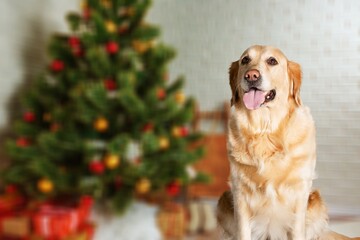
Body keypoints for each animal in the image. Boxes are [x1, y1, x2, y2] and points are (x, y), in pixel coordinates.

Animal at [217, 45, 360, 240]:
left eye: (272, 61)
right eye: (245, 60)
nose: (251, 75)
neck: (265, 130)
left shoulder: (300, 190)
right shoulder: (240, 191)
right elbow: (243, 232)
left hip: (316, 202)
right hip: (224, 200)